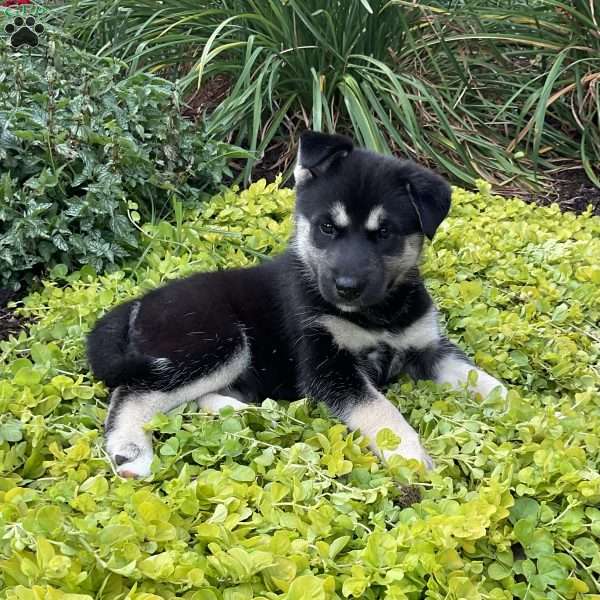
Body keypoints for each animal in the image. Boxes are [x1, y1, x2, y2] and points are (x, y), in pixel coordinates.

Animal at [86, 131, 504, 478]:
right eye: (327, 228)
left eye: (385, 233)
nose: (346, 288)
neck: (377, 314)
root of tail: (139, 303)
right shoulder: (328, 366)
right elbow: (379, 408)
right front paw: (408, 454)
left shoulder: (427, 347)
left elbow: (484, 380)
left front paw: (515, 406)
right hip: (216, 344)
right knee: (133, 391)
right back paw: (129, 449)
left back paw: (248, 412)